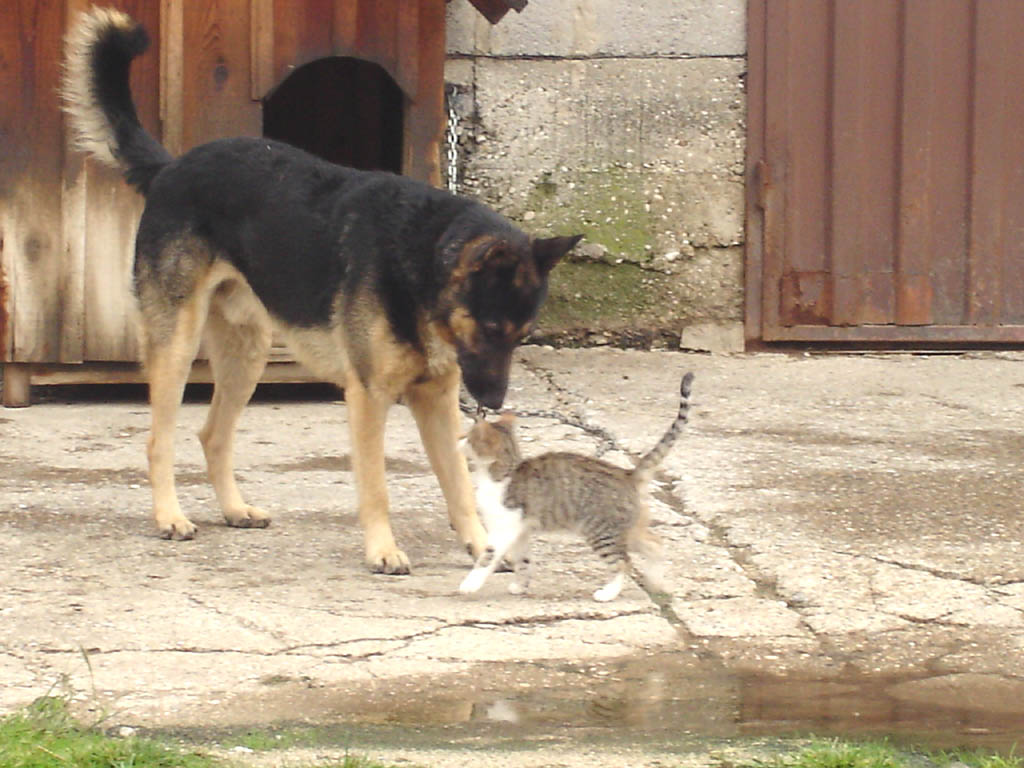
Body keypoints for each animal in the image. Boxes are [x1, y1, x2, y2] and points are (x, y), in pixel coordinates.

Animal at [59, 6, 581, 573]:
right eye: (489, 327)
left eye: (521, 335)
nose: (493, 400)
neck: (423, 257)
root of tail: (171, 167)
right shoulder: (369, 399)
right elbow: (376, 486)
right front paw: (383, 550)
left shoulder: (437, 402)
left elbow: (459, 484)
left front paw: (483, 546)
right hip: (177, 346)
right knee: (159, 439)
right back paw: (169, 517)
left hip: (247, 354)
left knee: (213, 434)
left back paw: (234, 509)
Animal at [458, 370, 692, 602]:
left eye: (468, 438)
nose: (458, 441)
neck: (503, 473)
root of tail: (627, 474)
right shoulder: (520, 531)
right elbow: (523, 561)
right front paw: (520, 586)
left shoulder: (504, 528)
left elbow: (487, 559)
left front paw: (469, 585)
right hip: (627, 529)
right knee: (655, 544)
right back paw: (658, 584)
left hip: (602, 533)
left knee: (623, 562)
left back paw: (608, 593)